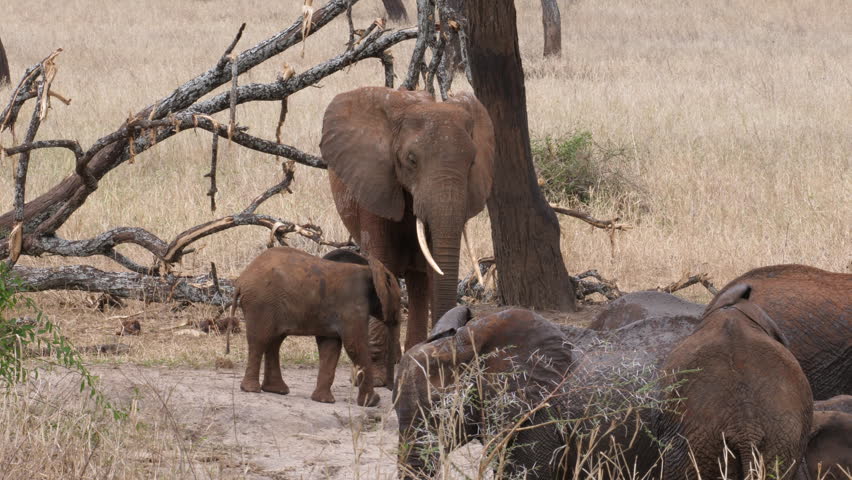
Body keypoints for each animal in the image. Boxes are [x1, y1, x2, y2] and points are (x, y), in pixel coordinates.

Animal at [230, 246, 401, 407]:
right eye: (399, 300)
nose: (390, 389)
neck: (370, 270)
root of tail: (241, 279)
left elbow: (330, 347)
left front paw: (324, 401)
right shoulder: (353, 307)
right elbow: (355, 346)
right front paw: (372, 403)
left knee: (274, 342)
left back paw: (276, 390)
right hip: (261, 303)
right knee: (260, 340)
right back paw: (252, 389)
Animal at [320, 86, 495, 352]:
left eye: (472, 162)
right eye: (412, 159)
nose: (451, 331)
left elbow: (433, 272)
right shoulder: (375, 187)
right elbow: (382, 264)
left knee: (418, 283)